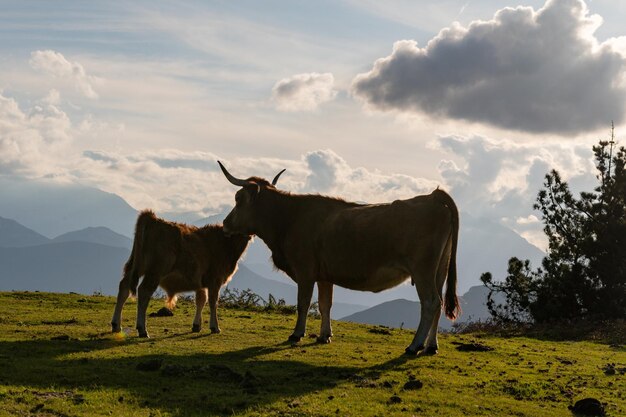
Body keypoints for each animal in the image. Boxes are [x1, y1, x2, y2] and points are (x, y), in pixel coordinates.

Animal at [109, 210, 249, 336]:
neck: (228, 244)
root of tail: (153, 219)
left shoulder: (201, 281)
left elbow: (201, 300)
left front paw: (196, 325)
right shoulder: (215, 279)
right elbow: (213, 302)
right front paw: (215, 327)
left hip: (138, 266)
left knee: (124, 286)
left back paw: (116, 325)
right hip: (156, 270)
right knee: (143, 291)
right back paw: (142, 329)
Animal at [218, 162, 458, 354]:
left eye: (238, 199)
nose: (225, 224)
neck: (288, 218)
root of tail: (433, 196)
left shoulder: (305, 272)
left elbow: (303, 303)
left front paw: (297, 334)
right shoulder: (324, 276)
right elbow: (325, 305)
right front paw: (324, 335)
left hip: (423, 269)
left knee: (430, 302)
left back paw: (414, 346)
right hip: (440, 270)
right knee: (438, 304)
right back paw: (431, 346)